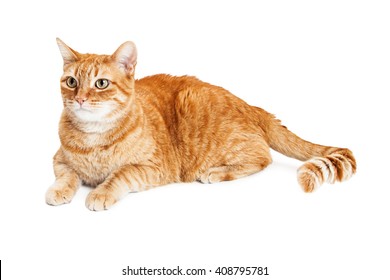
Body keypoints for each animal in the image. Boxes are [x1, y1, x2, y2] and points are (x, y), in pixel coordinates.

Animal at [45, 38, 356, 210]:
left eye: (101, 84)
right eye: (71, 82)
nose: (80, 99)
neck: (93, 138)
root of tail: (252, 106)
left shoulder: (153, 167)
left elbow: (119, 175)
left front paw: (101, 192)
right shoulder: (59, 159)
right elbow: (67, 175)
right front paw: (60, 190)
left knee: (262, 158)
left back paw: (216, 172)